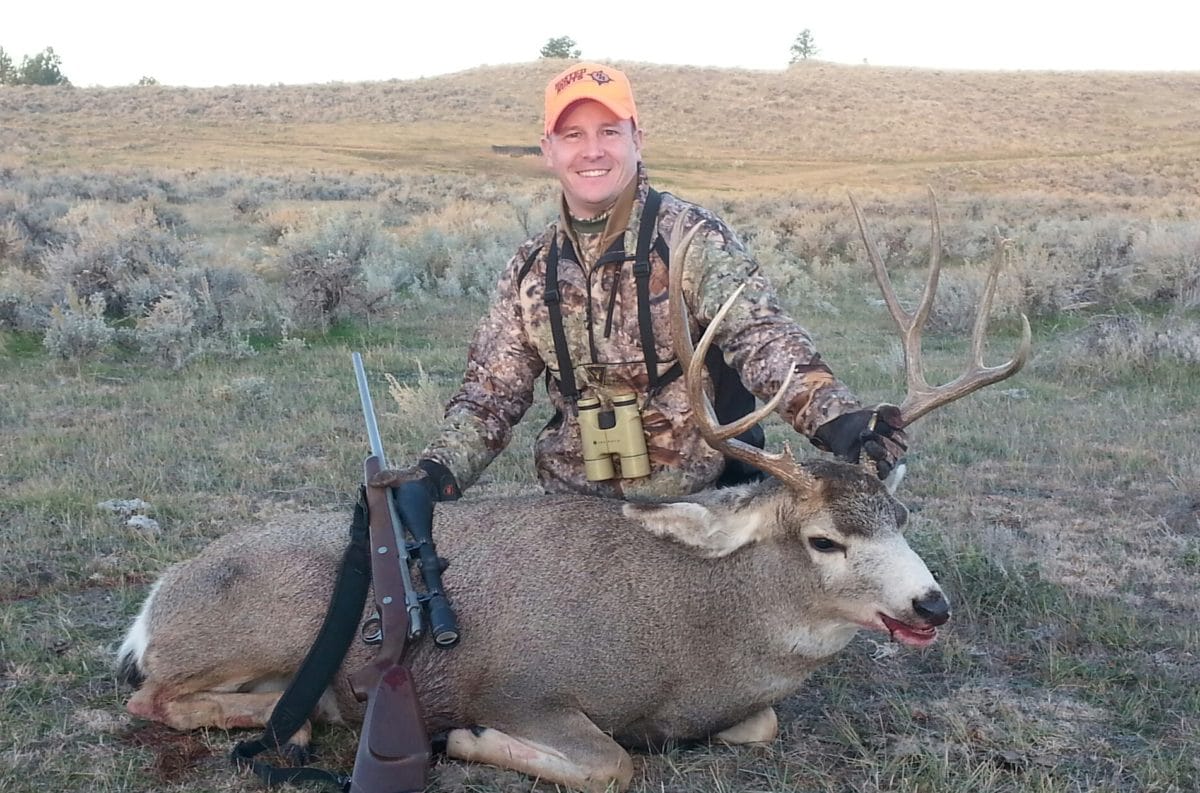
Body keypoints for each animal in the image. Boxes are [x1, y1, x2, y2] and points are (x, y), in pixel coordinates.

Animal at [115, 190, 1030, 792]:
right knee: (151, 696)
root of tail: (153, 605)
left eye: (900, 515)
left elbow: (758, 726)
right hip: (271, 620)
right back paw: (300, 713)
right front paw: (468, 739)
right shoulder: (530, 687)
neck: (694, 635)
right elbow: (611, 763)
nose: (931, 605)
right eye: (824, 538)